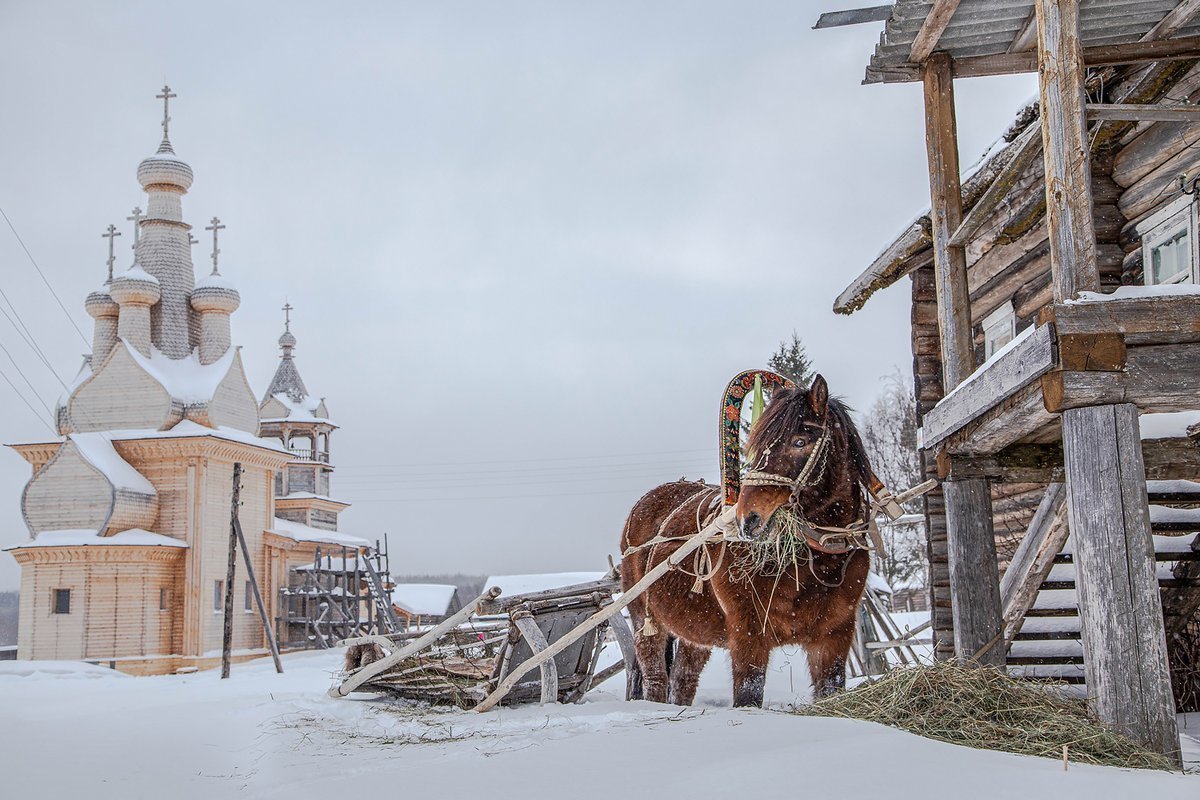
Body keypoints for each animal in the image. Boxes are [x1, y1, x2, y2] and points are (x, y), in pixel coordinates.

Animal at [619, 376, 873, 705]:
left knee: (684, 679)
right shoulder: (747, 633)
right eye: (757, 445)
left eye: (799, 442)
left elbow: (830, 688)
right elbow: (748, 694)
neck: (814, 560)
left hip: (693, 631)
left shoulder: (834, 637)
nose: (747, 518)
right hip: (644, 620)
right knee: (655, 679)